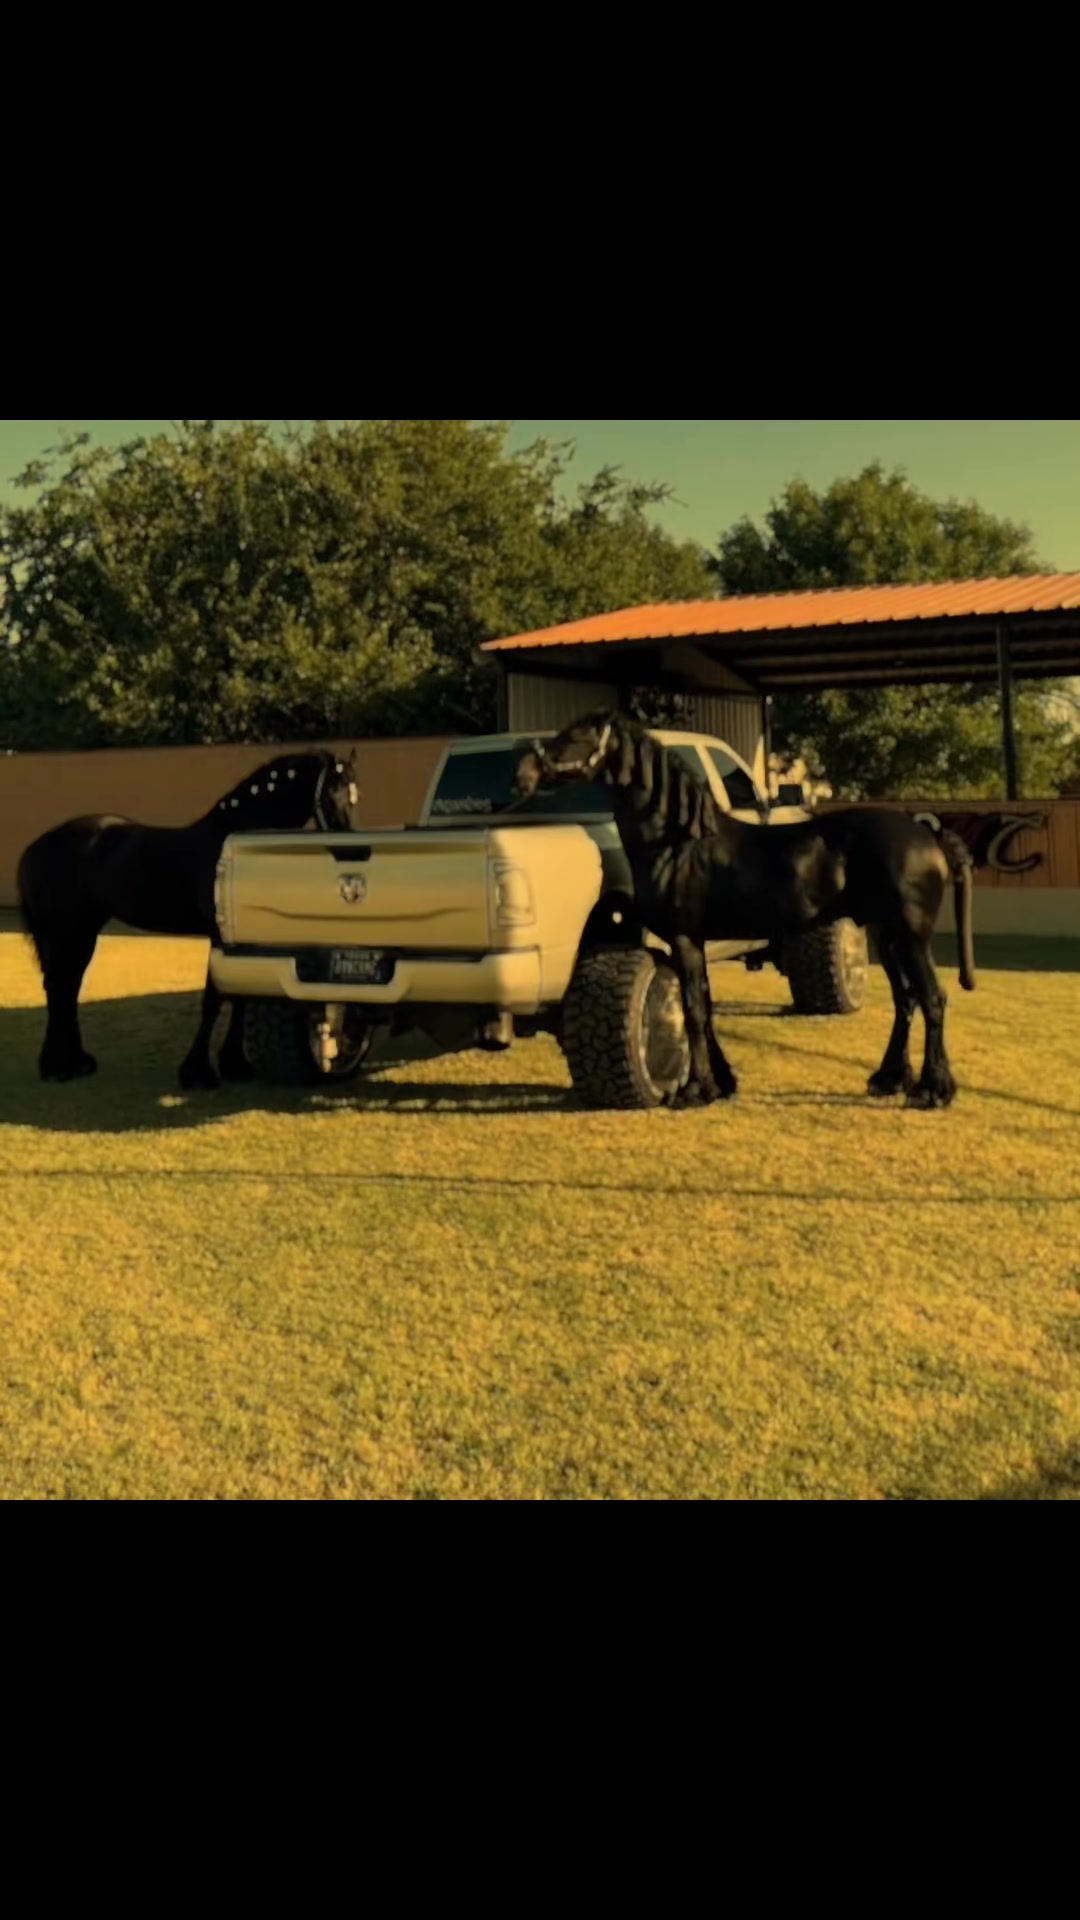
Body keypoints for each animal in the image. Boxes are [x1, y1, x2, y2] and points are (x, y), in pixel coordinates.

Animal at [17, 748, 359, 1089]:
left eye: (353, 797)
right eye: (329, 793)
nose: (349, 849)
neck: (229, 845)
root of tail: (37, 846)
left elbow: (238, 995)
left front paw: (234, 1065)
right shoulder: (218, 938)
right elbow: (213, 1000)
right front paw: (198, 1072)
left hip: (84, 930)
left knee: (67, 985)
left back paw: (75, 1061)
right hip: (66, 930)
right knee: (59, 985)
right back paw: (57, 1067)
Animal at [515, 710, 976, 1111]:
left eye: (576, 737)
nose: (525, 774)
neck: (676, 841)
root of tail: (928, 835)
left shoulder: (684, 937)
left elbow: (693, 1010)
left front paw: (694, 1091)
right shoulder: (696, 941)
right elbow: (702, 1004)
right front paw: (720, 1084)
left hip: (911, 937)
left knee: (932, 998)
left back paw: (932, 1091)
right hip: (887, 935)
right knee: (907, 999)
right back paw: (890, 1079)